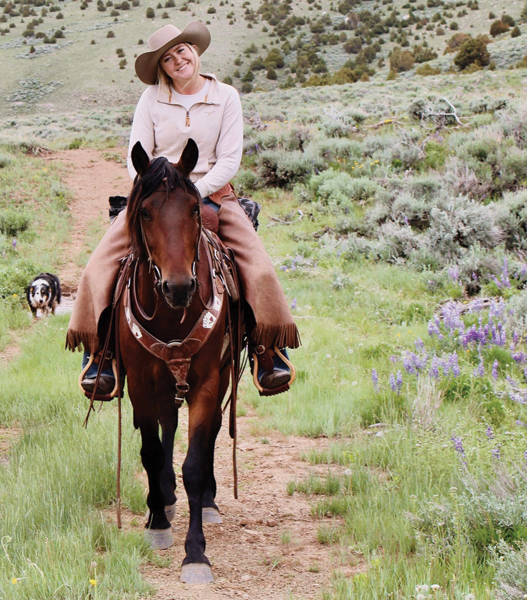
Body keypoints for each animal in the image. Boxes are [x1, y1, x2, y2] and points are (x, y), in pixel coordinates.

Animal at [112, 139, 244, 580]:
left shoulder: (206, 382)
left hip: (221, 374)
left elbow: (195, 464)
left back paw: (208, 501)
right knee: (167, 427)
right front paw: (157, 523)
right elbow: (152, 452)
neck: (172, 316)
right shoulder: (140, 383)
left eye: (193, 210)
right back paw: (164, 499)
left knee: (213, 430)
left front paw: (196, 552)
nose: (179, 287)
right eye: (145, 212)